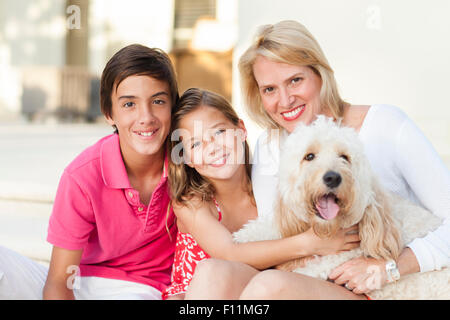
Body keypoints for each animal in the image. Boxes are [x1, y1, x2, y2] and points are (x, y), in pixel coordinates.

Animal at [234, 117, 448, 300]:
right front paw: (243, 236)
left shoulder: (334, 262)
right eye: (309, 156)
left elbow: (304, 270)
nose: (332, 177)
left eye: (344, 157)